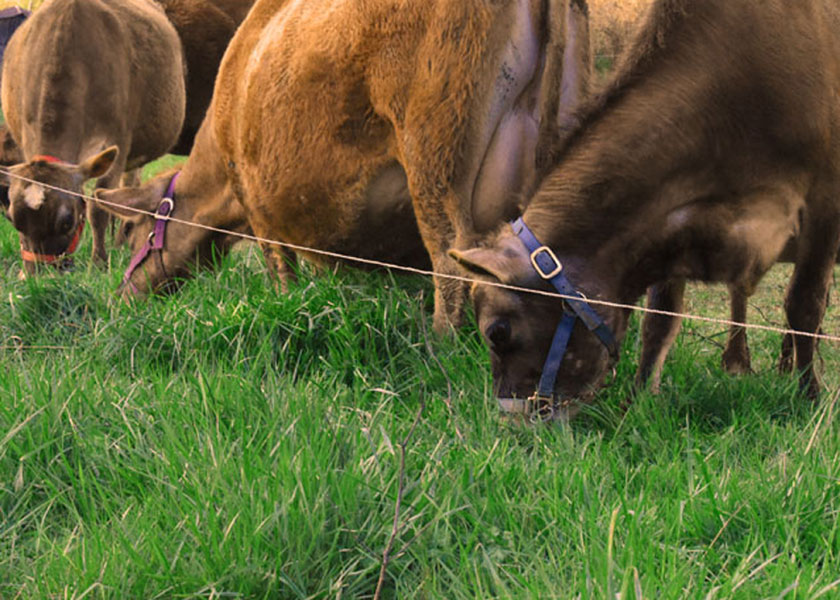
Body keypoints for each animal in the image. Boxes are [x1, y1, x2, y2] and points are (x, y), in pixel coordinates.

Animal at [0, 0, 186, 273]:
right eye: (12, 219)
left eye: (67, 221)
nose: (40, 276)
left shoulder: (117, 141)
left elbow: (98, 209)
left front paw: (98, 262)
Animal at [94, 0, 593, 332]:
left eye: (133, 231)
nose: (119, 296)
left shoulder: (259, 207)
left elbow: (282, 275)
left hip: (435, 156)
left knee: (450, 264)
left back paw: (440, 346)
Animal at [451, 0, 840, 420]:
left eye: (498, 332)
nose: (510, 416)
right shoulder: (668, 220)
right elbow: (660, 319)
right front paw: (636, 402)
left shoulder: (824, 203)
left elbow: (804, 303)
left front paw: (809, 397)